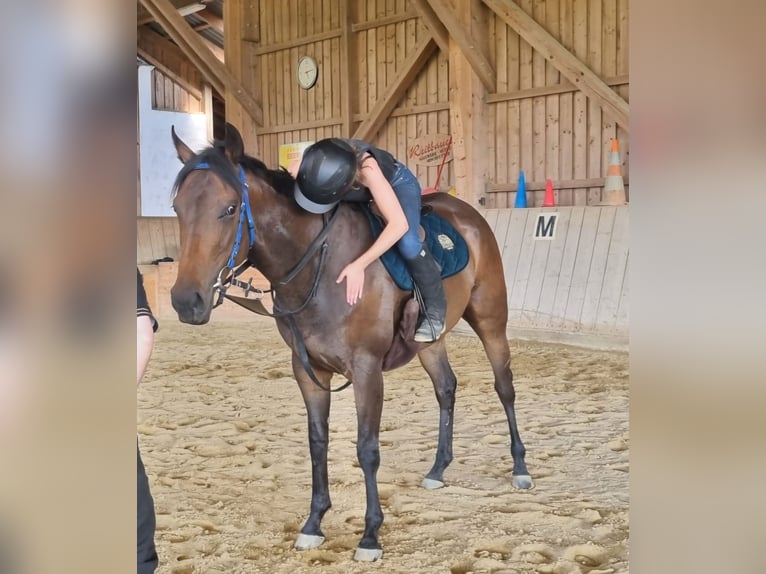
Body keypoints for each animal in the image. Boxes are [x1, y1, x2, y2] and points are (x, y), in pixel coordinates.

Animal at [170, 122, 532, 564]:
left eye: (229, 209)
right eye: (177, 208)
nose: (186, 301)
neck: (321, 266)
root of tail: (469, 215)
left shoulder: (366, 369)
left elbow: (366, 449)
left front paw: (371, 534)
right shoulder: (307, 369)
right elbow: (318, 442)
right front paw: (313, 523)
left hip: (491, 320)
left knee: (505, 388)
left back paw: (520, 469)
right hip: (430, 341)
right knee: (446, 388)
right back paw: (437, 470)